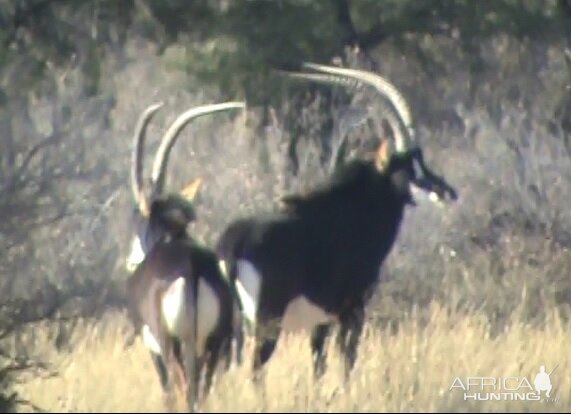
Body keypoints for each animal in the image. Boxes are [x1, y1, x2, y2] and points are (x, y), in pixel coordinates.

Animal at [125, 100, 246, 410]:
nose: (130, 261)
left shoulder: (153, 348)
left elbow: (167, 392)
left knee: (183, 389)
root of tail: (192, 269)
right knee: (202, 390)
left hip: (174, 344)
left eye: (138, 219)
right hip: (214, 344)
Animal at [216, 61, 460, 384]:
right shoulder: (352, 309)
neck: (352, 212)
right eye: (409, 168)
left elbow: (319, 364)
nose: (448, 192)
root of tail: (233, 244)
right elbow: (348, 360)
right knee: (256, 370)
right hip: (267, 321)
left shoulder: (322, 319)